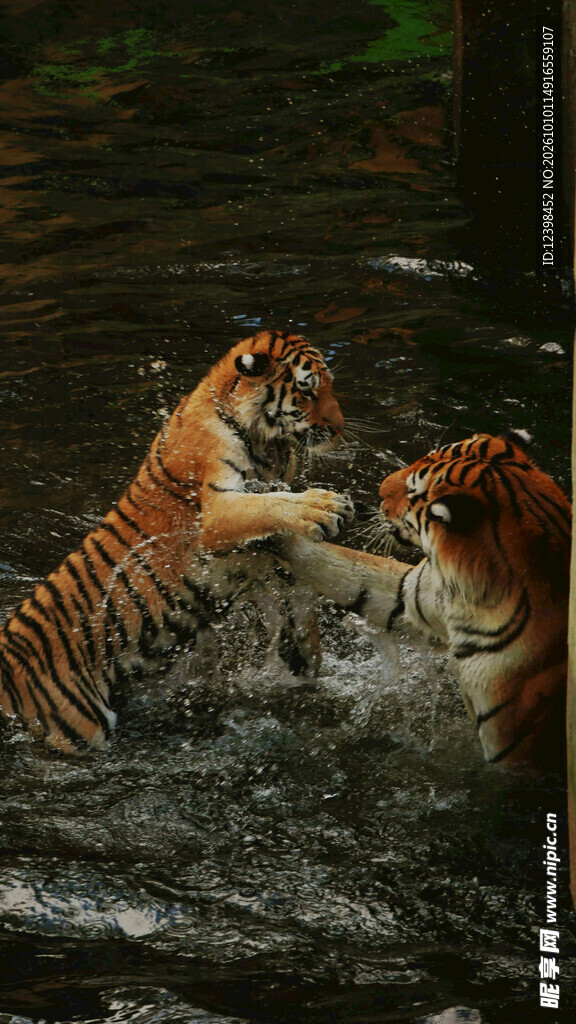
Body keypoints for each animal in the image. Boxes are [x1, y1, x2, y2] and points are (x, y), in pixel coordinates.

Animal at [0, 330, 353, 753]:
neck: (267, 445)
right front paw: (325, 505)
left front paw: (303, 655)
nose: (339, 427)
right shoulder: (216, 512)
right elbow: (271, 502)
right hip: (80, 726)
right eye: (307, 390)